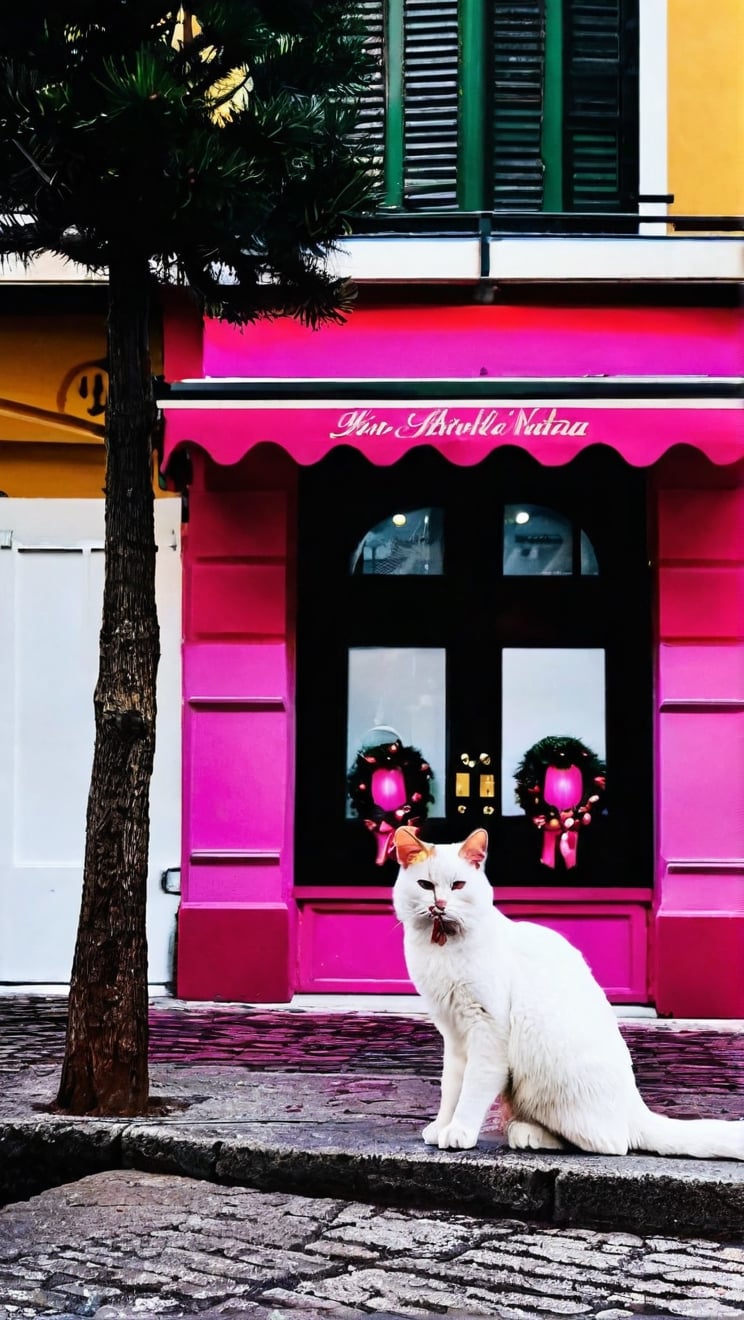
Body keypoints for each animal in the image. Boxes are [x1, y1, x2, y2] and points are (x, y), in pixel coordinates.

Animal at [393, 828, 738, 1161]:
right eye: (426, 885)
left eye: (458, 885)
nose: (439, 905)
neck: (443, 949)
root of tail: (634, 1106)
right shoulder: (454, 1036)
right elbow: (451, 1089)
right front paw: (442, 1126)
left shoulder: (487, 1031)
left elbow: (472, 1089)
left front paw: (459, 1131)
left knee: (611, 1144)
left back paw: (527, 1134)